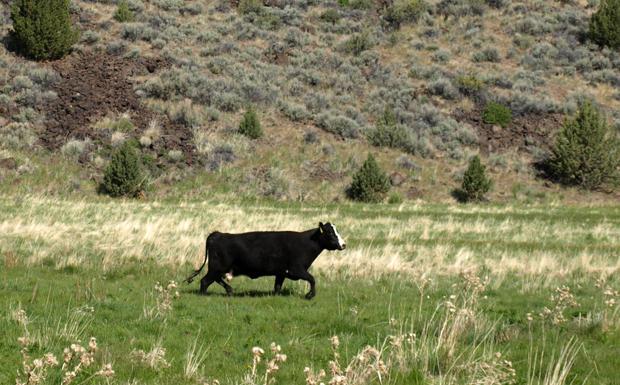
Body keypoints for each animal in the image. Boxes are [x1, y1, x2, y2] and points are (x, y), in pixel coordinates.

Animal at [184, 222, 348, 300]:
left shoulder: (281, 273)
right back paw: (204, 296)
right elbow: (312, 279)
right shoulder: (297, 269)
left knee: (216, 279)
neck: (306, 243)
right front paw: (309, 295)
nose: (343, 244)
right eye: (330, 232)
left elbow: (277, 287)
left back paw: (229, 291)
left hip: (219, 268)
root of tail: (217, 234)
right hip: (216, 267)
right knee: (205, 281)